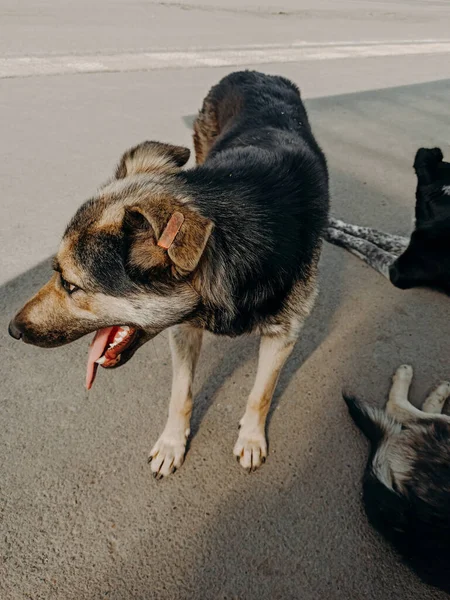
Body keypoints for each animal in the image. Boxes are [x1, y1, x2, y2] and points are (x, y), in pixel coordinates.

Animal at [7, 70, 330, 476]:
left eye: (70, 284)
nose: (11, 330)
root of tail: (255, 73)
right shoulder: (183, 329)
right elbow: (181, 393)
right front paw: (172, 444)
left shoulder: (283, 335)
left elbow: (261, 394)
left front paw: (252, 438)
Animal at [326, 148, 450, 292]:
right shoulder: (409, 243)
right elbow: (374, 234)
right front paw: (330, 224)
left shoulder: (397, 271)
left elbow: (370, 248)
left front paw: (336, 235)